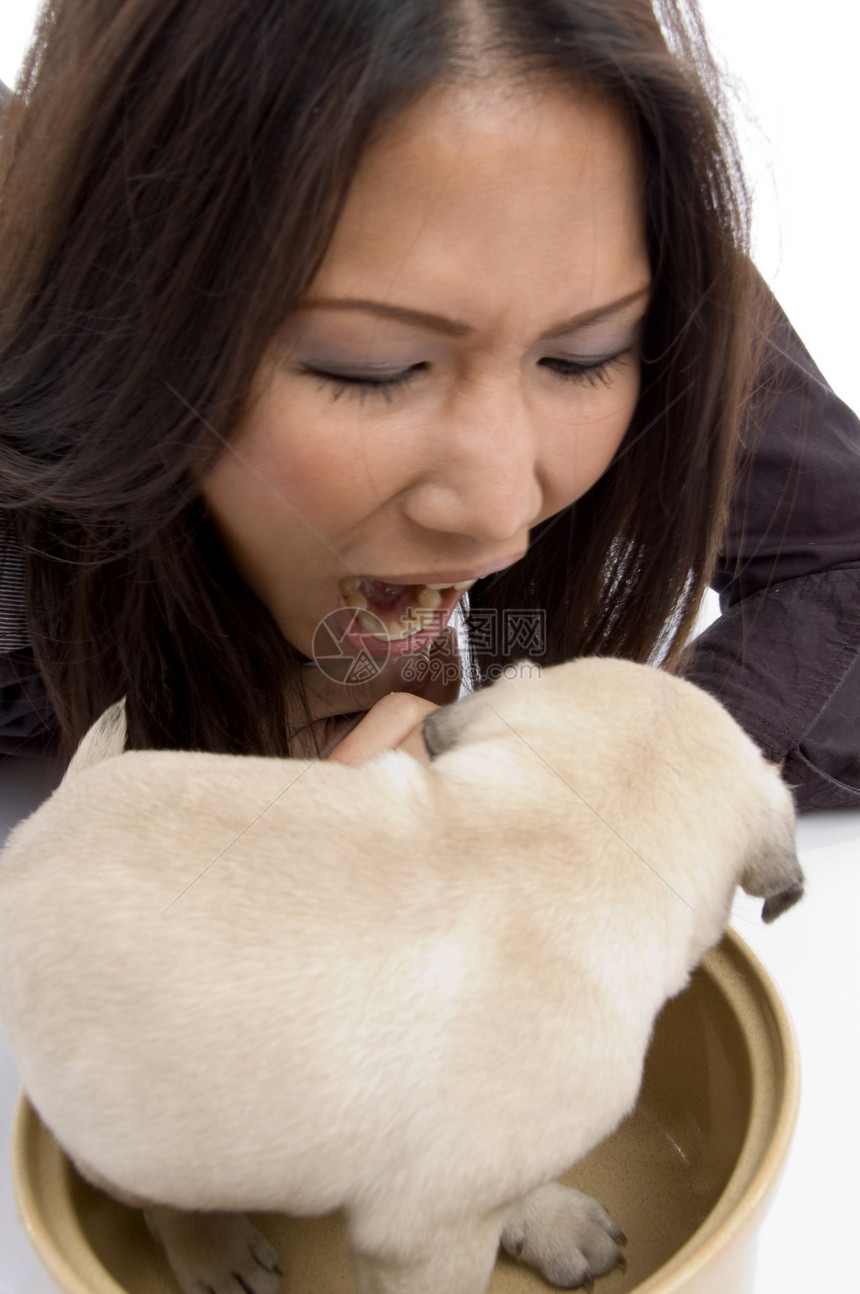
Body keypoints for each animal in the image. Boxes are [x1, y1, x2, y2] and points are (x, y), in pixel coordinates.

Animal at [1, 657, 806, 1294]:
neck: (556, 836)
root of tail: (45, 818)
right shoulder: (423, 1242)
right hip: (129, 1128)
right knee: (161, 1200)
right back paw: (215, 1251)